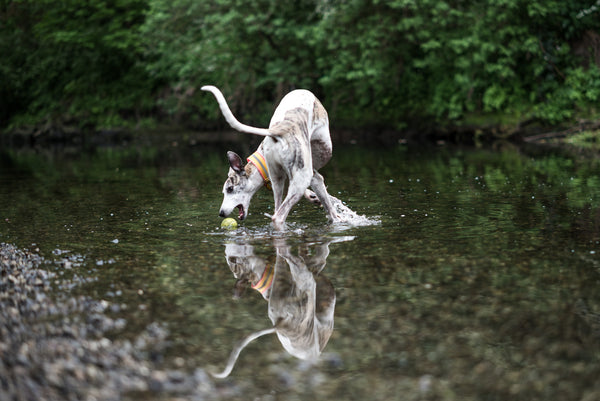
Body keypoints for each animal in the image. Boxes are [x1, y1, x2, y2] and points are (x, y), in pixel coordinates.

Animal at [202, 85, 342, 228]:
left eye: (230, 189)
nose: (221, 213)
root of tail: (278, 131)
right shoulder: (312, 176)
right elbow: (330, 209)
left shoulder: (300, 176)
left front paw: (313, 197)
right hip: (305, 173)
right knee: (278, 216)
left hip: (278, 182)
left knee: (277, 210)